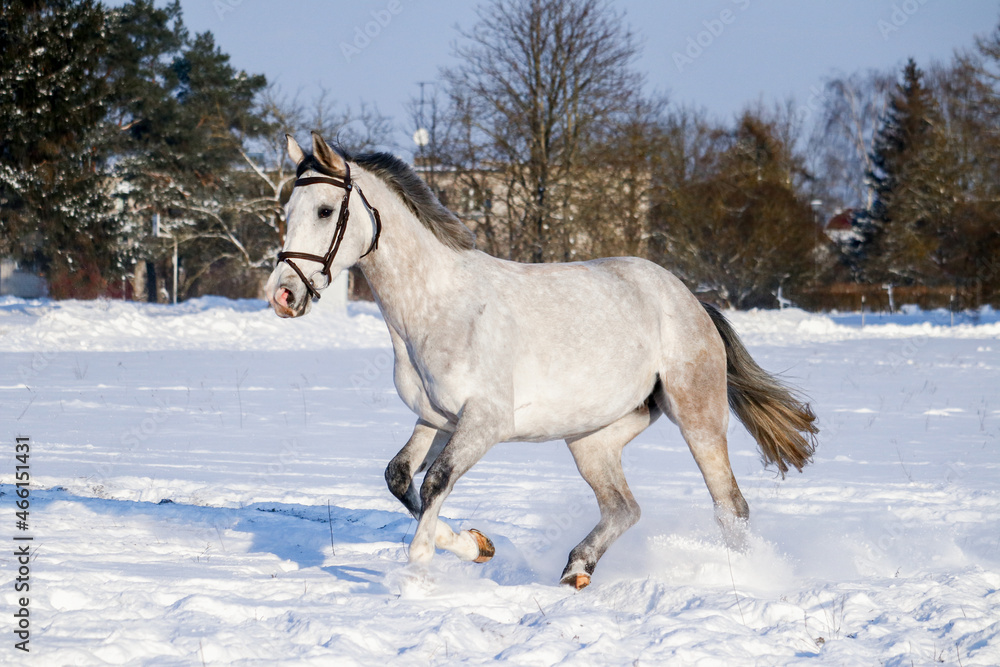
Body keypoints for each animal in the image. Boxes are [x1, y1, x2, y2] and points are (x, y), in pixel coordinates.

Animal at [266, 132, 820, 588]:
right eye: (287, 211)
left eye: (324, 210)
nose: (284, 295)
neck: (436, 308)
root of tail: (689, 299)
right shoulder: (438, 418)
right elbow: (403, 479)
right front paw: (478, 545)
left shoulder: (485, 422)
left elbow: (435, 482)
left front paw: (419, 569)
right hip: (591, 439)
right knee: (625, 508)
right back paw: (577, 567)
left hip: (698, 417)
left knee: (730, 507)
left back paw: (744, 577)